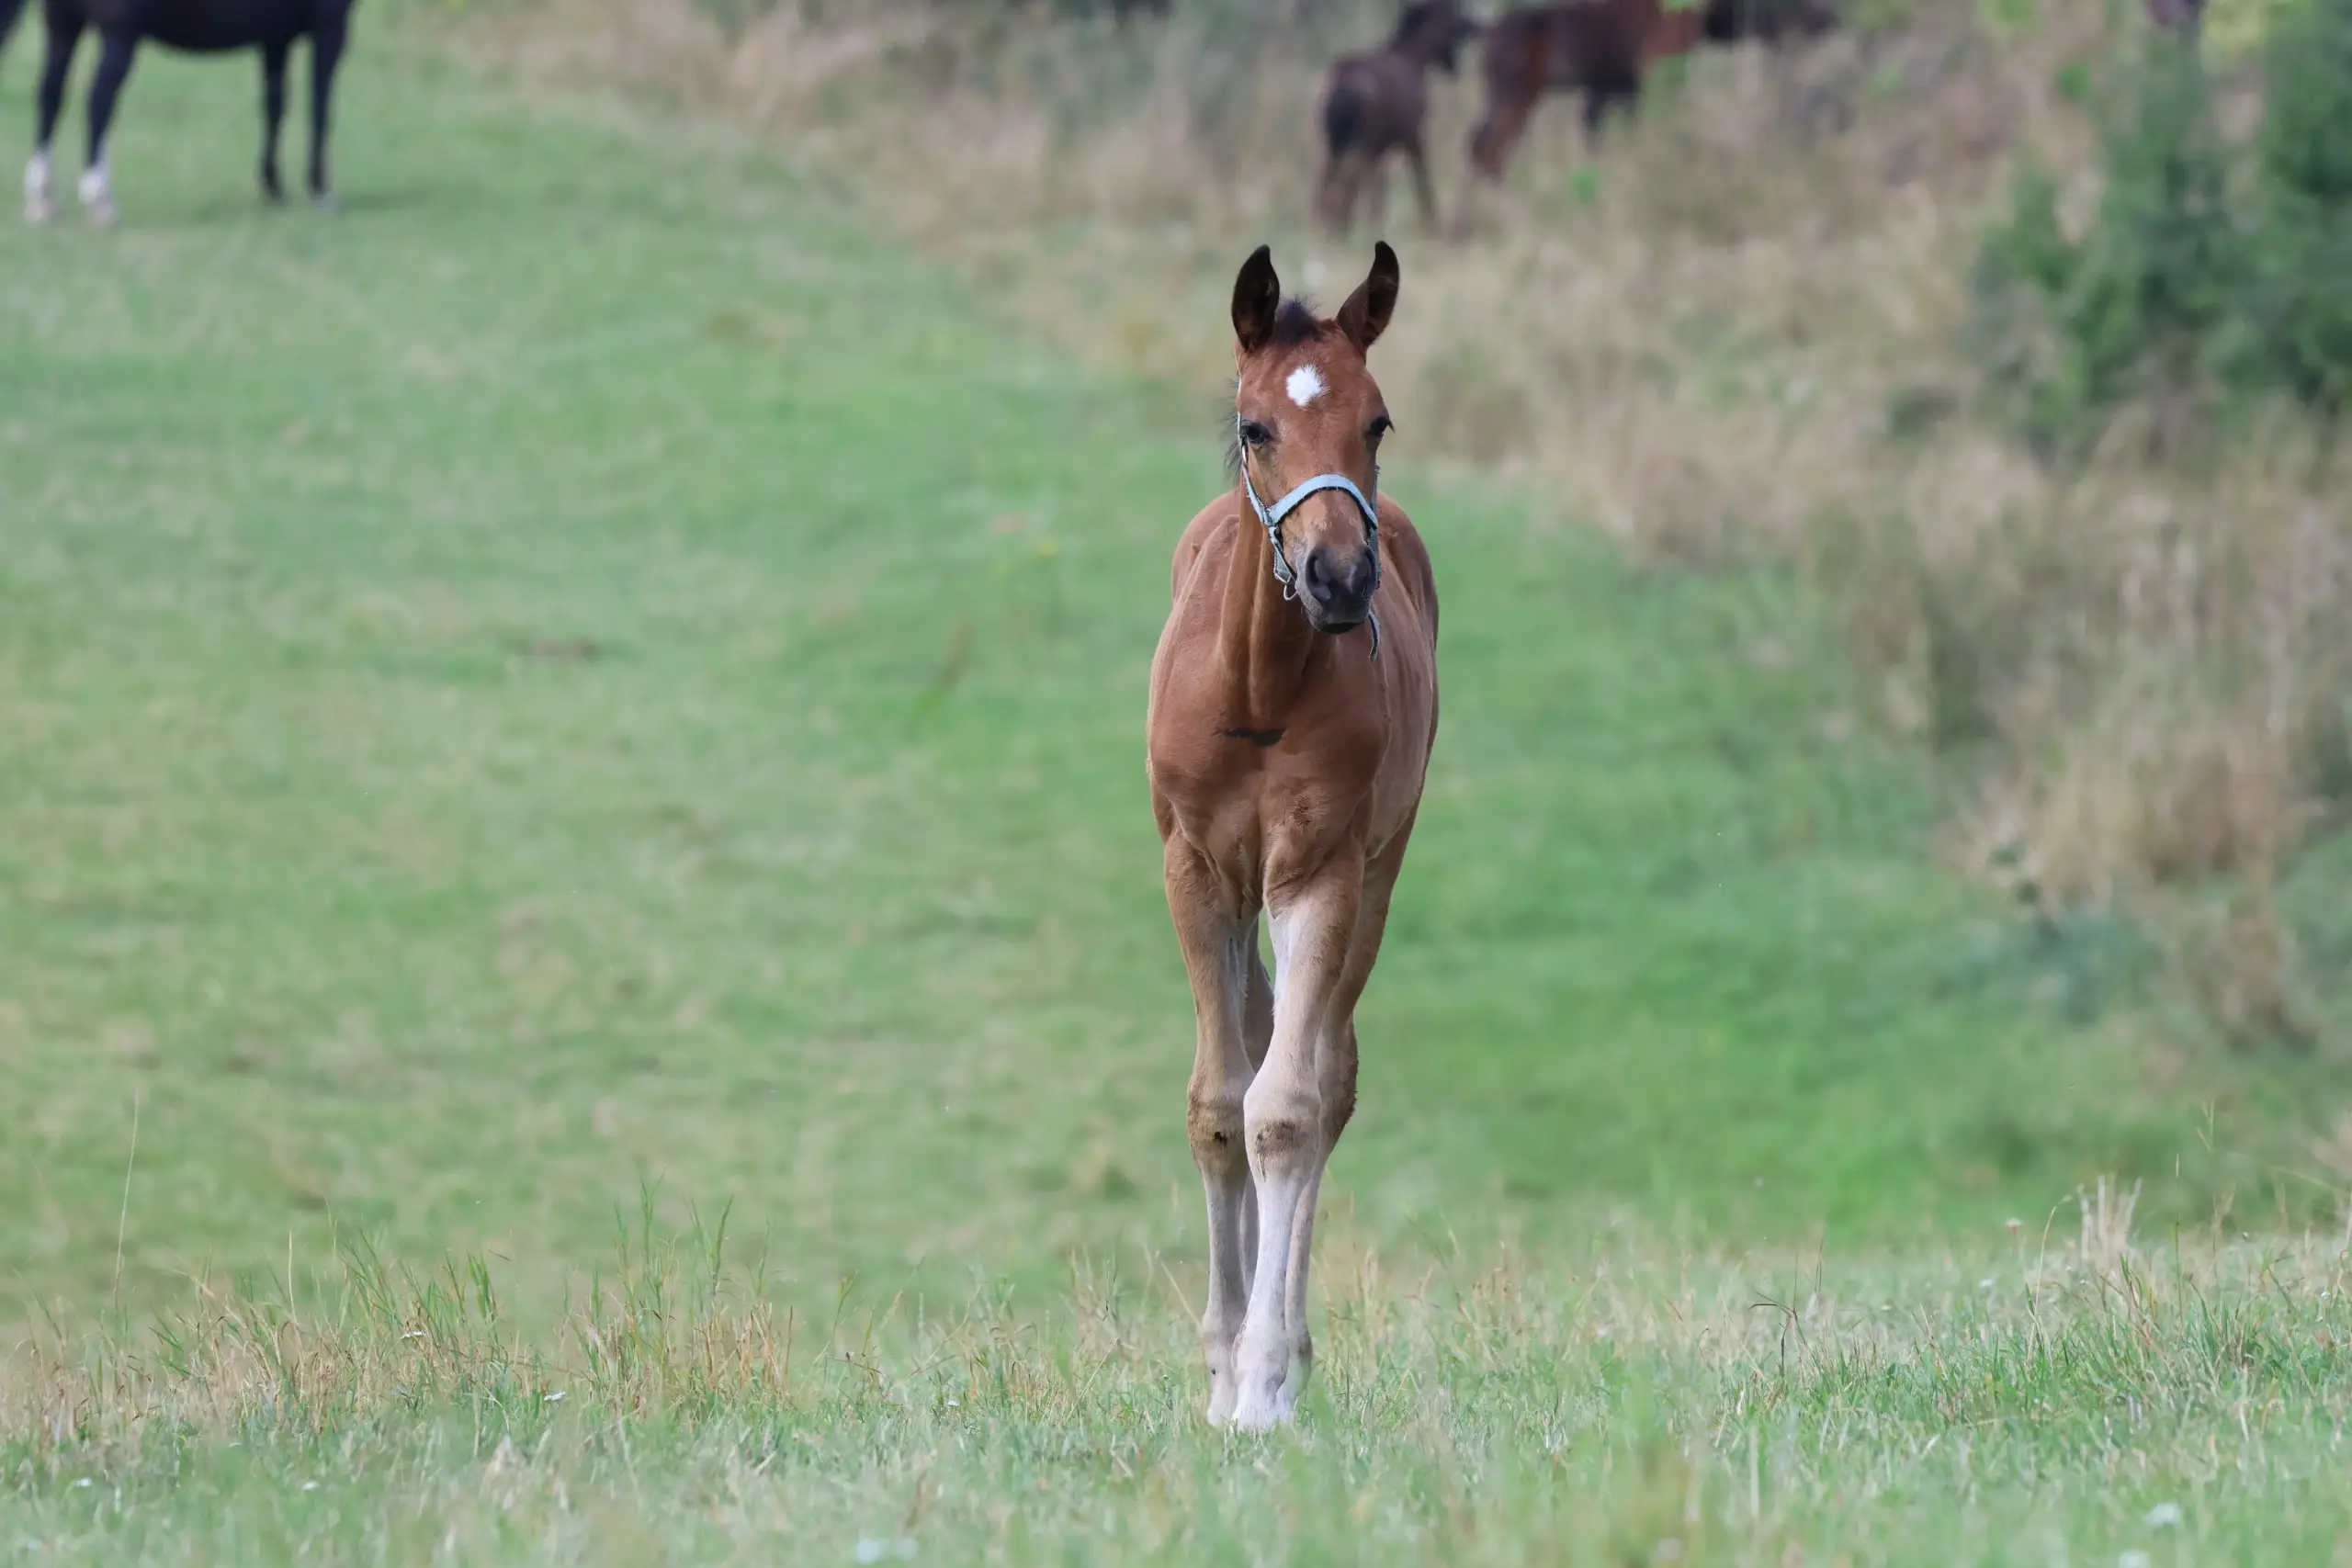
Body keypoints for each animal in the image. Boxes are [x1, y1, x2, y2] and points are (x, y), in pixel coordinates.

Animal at [4, 0, 355, 224]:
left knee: (50, 98)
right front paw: (322, 191)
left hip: (62, 28)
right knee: (98, 103)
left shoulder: (275, 38)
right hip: (118, 36)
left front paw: (274, 186)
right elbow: (320, 111)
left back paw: (43, 201)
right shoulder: (329, 28)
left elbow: (274, 109)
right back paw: (100, 200)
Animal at [1316, 0, 1483, 234]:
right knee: (1346, 185)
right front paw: (1431, 226)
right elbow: (1422, 181)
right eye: (1453, 14)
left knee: (1327, 184)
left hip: (1333, 141)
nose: (1474, 25)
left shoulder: (1380, 149)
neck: (1417, 58)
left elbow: (1379, 193)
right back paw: (1338, 227)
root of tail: (1343, 86)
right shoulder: (1412, 134)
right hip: (1358, 143)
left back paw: (1327, 227)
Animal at [1467, 0, 1835, 181]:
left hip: (1501, 99)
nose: (1824, 17)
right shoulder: (1653, 69)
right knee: (1488, 151)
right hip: (1518, 98)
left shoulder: (1617, 91)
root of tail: (1487, 32)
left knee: (1478, 146)